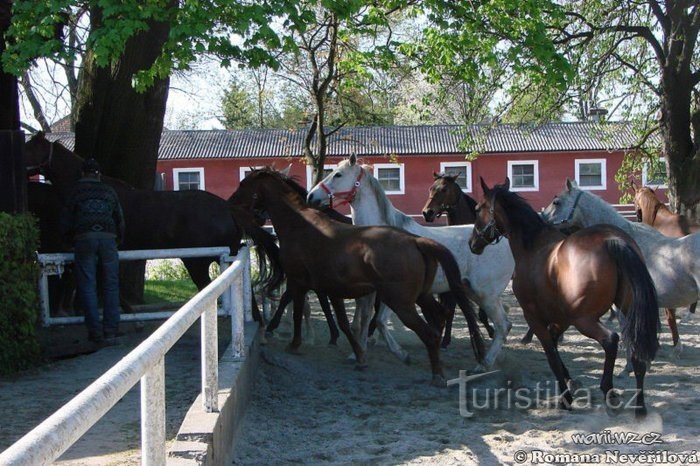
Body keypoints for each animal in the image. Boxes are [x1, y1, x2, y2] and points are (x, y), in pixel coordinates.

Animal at [227, 167, 484, 386]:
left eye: (243, 184)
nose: (229, 204)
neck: (302, 225)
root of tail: (416, 241)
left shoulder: (298, 281)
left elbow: (299, 311)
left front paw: (294, 342)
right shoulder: (330, 289)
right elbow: (344, 322)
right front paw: (358, 355)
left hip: (402, 302)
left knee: (430, 332)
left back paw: (438, 373)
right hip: (421, 297)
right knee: (440, 318)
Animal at [306, 156, 516, 372]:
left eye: (338, 174)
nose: (311, 196)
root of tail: (500, 238)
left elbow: (379, 321)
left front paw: (402, 354)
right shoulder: (371, 291)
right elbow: (363, 321)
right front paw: (357, 354)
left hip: (485, 294)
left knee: (503, 325)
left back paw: (484, 364)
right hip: (474, 292)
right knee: (504, 319)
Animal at [468, 177, 660, 416]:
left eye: (477, 209)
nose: (473, 243)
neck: (533, 246)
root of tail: (612, 241)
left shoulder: (535, 318)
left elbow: (551, 355)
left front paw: (566, 397)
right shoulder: (561, 319)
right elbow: (556, 349)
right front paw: (570, 382)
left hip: (585, 320)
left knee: (611, 340)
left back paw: (609, 392)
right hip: (627, 313)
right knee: (637, 355)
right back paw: (639, 406)